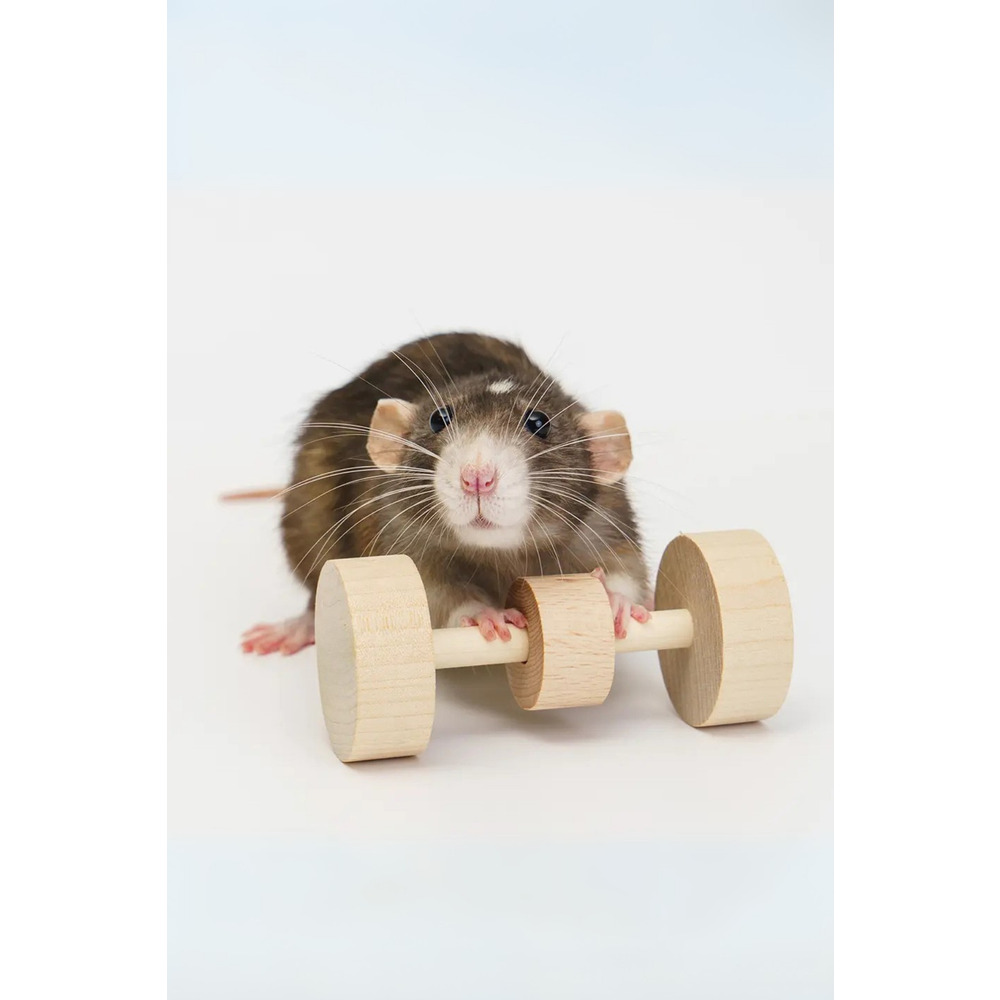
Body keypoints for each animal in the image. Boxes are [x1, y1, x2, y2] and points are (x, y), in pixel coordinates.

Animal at [241, 332, 651, 655]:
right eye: (439, 419)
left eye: (539, 423)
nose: (477, 477)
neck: (499, 554)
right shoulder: (399, 534)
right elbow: (434, 596)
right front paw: (484, 613)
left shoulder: (606, 515)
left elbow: (627, 565)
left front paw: (615, 600)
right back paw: (299, 625)